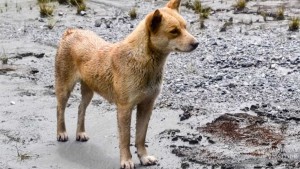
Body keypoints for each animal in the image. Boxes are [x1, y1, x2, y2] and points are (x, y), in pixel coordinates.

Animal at [55, 0, 198, 168]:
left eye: (185, 27)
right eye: (174, 31)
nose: (196, 43)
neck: (143, 61)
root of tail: (71, 32)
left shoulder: (147, 105)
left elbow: (140, 137)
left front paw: (144, 157)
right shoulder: (124, 108)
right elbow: (125, 138)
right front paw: (126, 160)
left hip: (89, 91)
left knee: (80, 109)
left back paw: (80, 133)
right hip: (64, 88)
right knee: (60, 110)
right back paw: (61, 133)